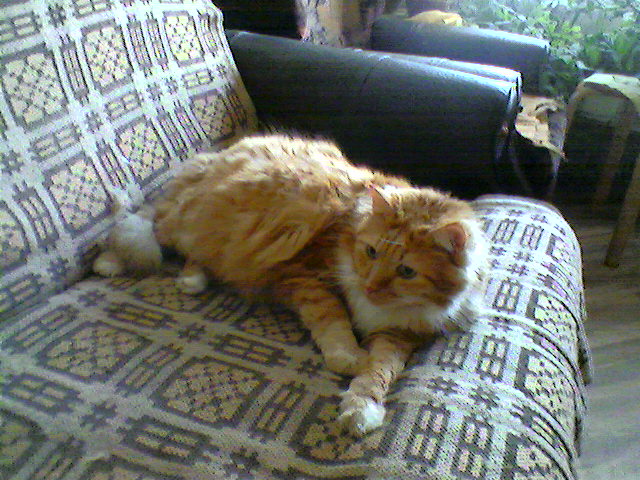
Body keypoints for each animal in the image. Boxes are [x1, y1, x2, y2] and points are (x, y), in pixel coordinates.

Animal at [93, 134, 487, 436]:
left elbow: (379, 372)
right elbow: (334, 323)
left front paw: (362, 408)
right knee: (148, 227)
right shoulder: (305, 276)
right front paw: (350, 357)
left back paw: (193, 278)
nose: (370, 286)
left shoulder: (399, 334)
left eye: (406, 272)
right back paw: (108, 263)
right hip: (192, 219)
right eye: (371, 252)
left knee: (191, 250)